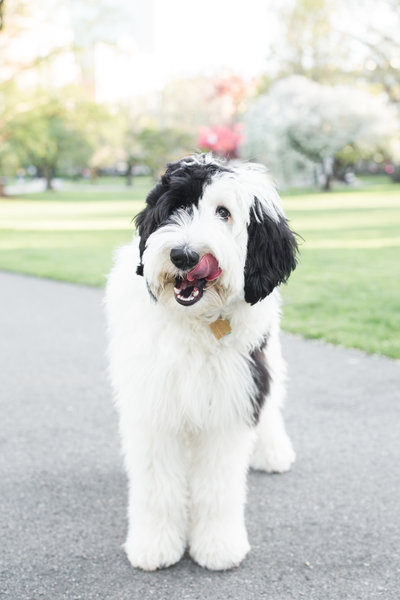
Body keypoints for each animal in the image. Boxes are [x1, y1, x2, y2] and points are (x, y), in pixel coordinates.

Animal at [104, 152, 298, 568]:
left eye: (224, 212)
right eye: (175, 208)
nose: (184, 255)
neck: (197, 322)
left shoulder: (233, 398)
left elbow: (217, 486)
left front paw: (218, 546)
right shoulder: (156, 405)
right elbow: (158, 485)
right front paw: (155, 545)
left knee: (272, 403)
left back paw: (273, 452)